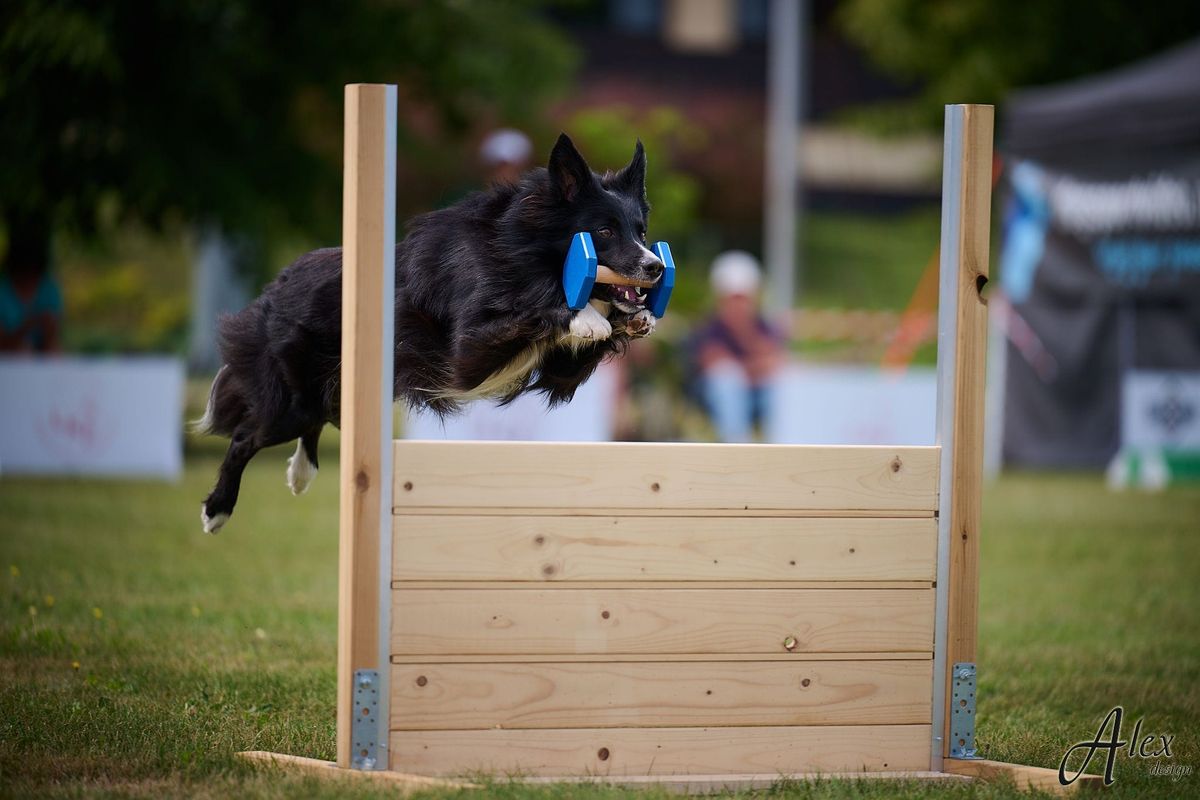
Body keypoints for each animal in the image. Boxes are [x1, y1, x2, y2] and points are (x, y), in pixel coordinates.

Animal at [196, 134, 667, 532]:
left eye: (642, 230)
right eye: (604, 231)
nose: (656, 267)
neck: (524, 252)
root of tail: (277, 284)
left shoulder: (557, 368)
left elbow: (583, 349)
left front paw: (634, 320)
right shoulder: (467, 351)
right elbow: (537, 312)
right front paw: (586, 315)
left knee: (311, 421)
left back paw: (299, 471)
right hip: (293, 398)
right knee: (246, 436)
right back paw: (218, 510)